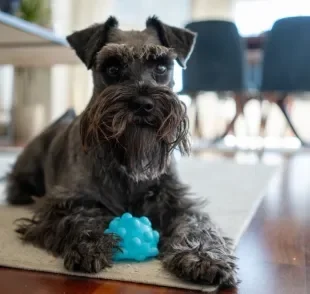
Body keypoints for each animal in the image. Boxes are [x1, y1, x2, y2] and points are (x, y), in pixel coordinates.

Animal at [5, 16, 237, 288]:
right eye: (112, 68)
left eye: (161, 67)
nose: (143, 104)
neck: (126, 161)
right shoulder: (63, 202)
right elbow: (78, 217)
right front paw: (91, 242)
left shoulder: (178, 202)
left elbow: (196, 225)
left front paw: (202, 257)